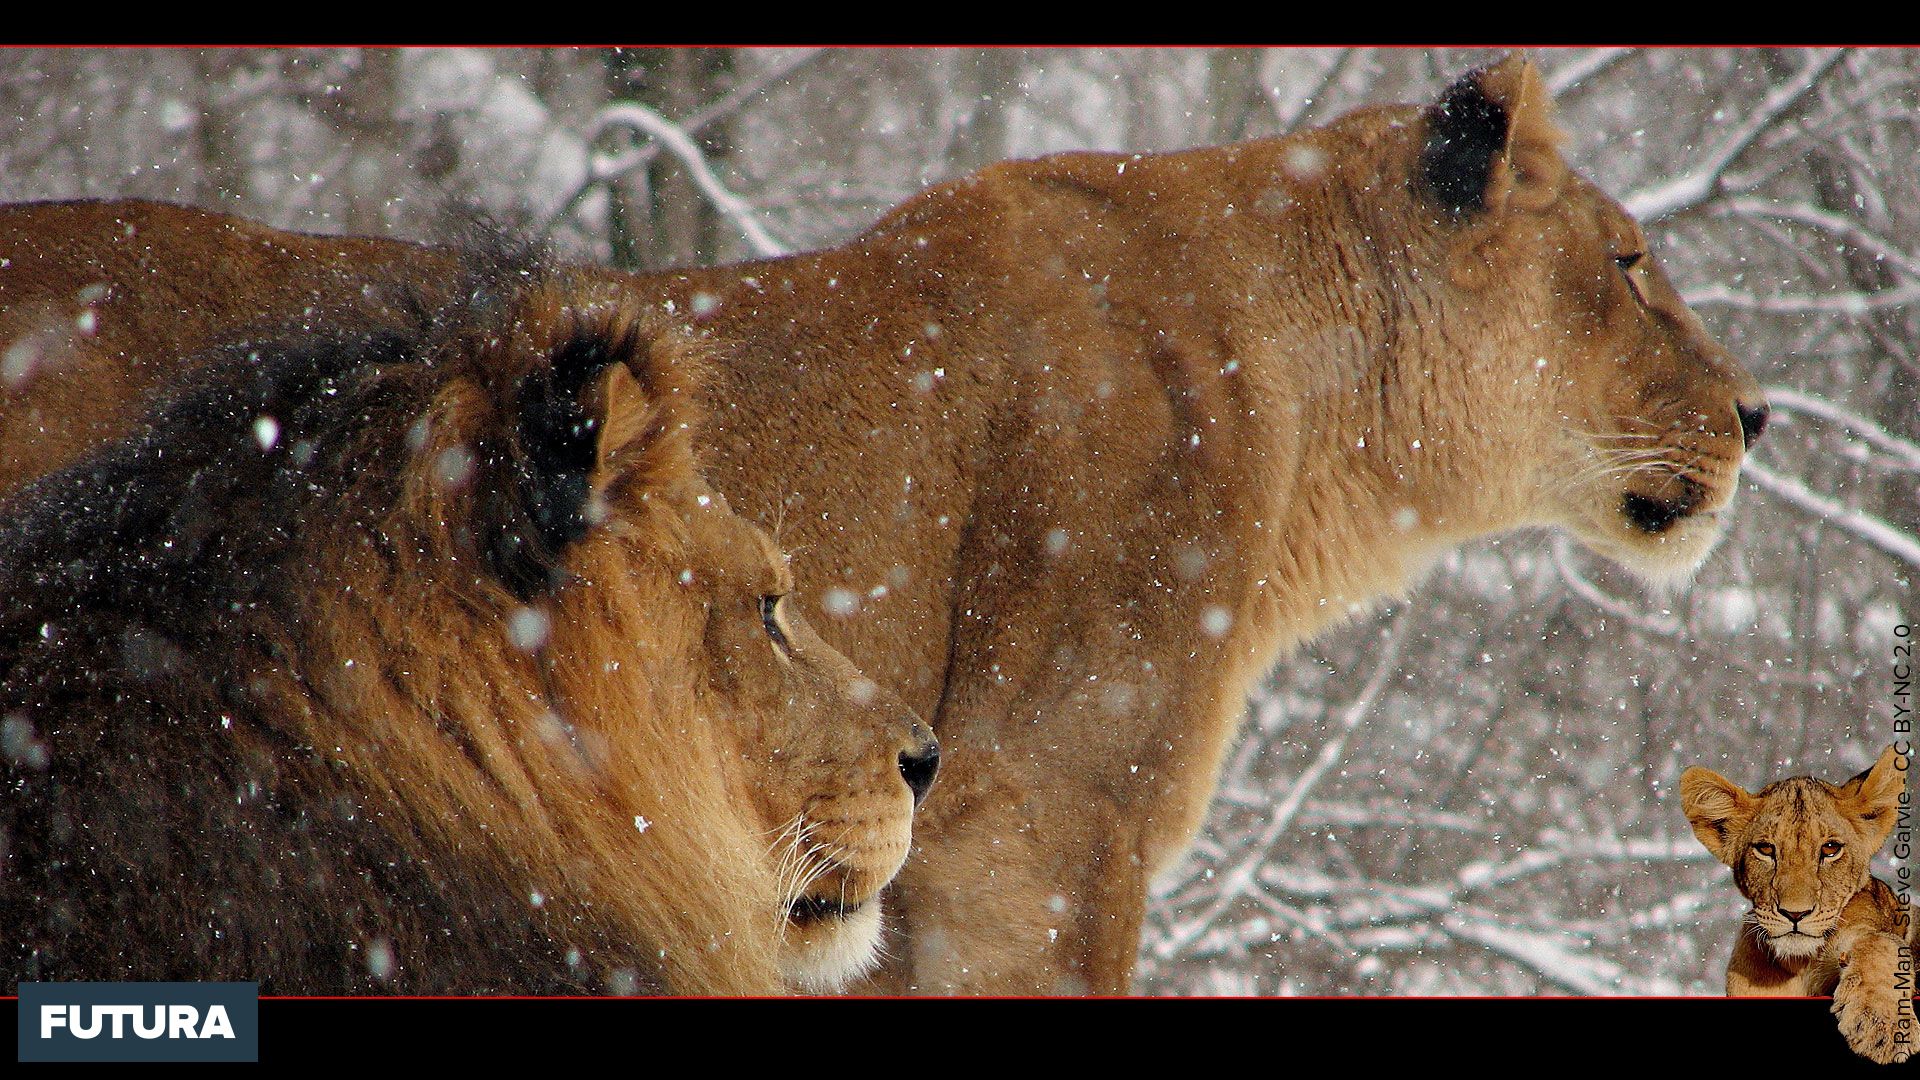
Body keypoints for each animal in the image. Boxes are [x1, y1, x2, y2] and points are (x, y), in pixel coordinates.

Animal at [1682, 746, 1917, 1063]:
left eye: (1830, 849)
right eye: (1765, 849)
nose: (1795, 913)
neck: (1797, 965)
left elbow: (1880, 944)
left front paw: (1883, 1027)